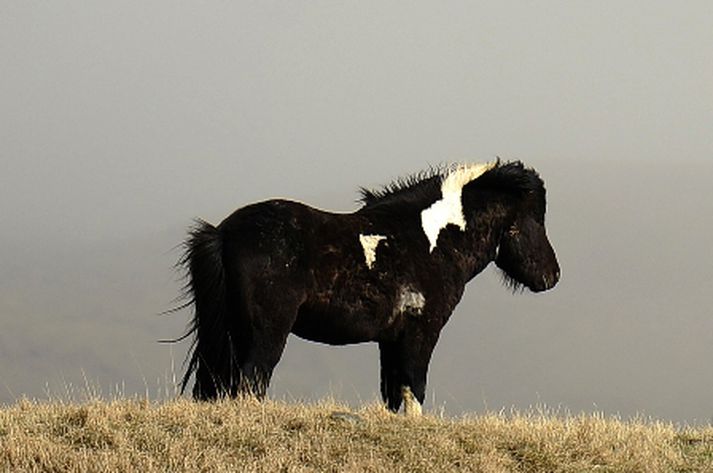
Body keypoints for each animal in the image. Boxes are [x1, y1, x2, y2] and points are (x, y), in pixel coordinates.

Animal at [177, 159, 556, 412]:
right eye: (535, 219)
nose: (552, 275)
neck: (429, 242)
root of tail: (223, 232)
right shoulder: (421, 332)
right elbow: (414, 388)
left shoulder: (390, 340)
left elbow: (393, 394)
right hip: (266, 334)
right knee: (252, 382)